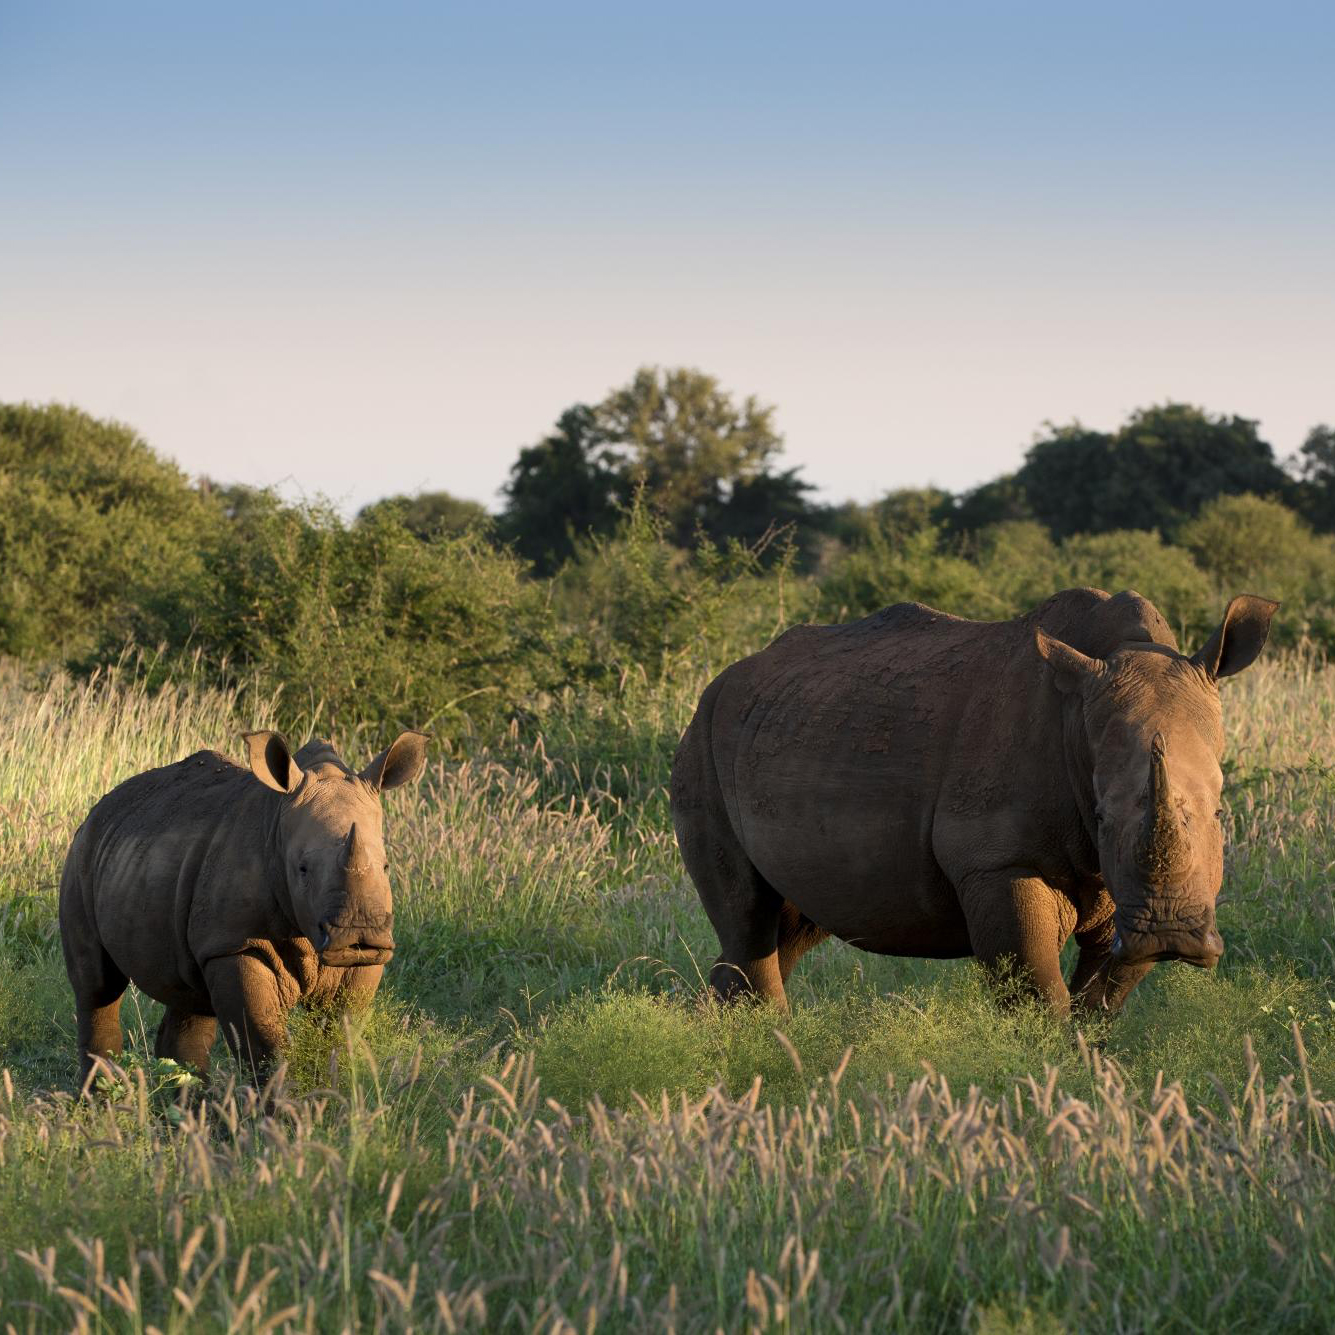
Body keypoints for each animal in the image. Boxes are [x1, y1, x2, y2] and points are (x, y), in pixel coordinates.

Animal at [61, 731, 427, 1084]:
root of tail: (102, 804)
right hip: (83, 852)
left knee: (190, 997)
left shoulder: (366, 960)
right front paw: (281, 1104)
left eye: (386, 867)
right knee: (98, 986)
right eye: (302, 869)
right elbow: (264, 1048)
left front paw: (327, 1099)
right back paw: (103, 1095)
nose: (358, 933)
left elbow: (337, 1038)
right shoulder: (234, 945)